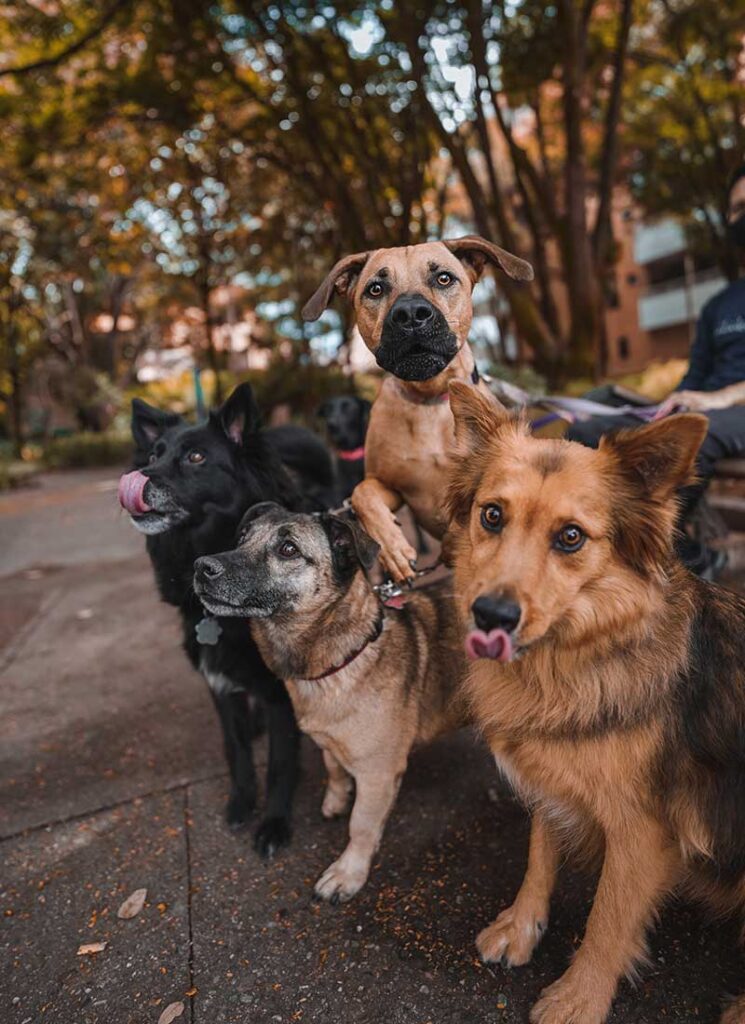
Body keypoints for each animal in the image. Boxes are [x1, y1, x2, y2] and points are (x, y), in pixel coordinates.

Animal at [119, 382, 335, 856]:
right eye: (153, 454)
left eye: (196, 457)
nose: (140, 478)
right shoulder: (217, 681)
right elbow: (235, 749)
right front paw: (241, 802)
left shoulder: (280, 692)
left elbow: (280, 761)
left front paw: (274, 823)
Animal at [195, 507, 468, 901]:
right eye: (242, 537)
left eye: (288, 549)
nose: (201, 566)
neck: (340, 661)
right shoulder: (330, 743)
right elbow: (334, 768)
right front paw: (336, 799)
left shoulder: (378, 774)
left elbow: (362, 825)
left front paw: (348, 873)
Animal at [298, 234, 532, 581]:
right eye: (375, 288)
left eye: (444, 278)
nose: (410, 314)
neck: (429, 398)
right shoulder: (392, 487)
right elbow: (362, 493)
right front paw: (392, 548)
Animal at [442, 382, 745, 1024]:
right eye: (492, 515)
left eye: (572, 536)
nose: (491, 615)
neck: (569, 661)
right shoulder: (550, 774)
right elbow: (540, 851)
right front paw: (522, 927)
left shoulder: (643, 829)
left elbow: (608, 917)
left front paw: (579, 997)